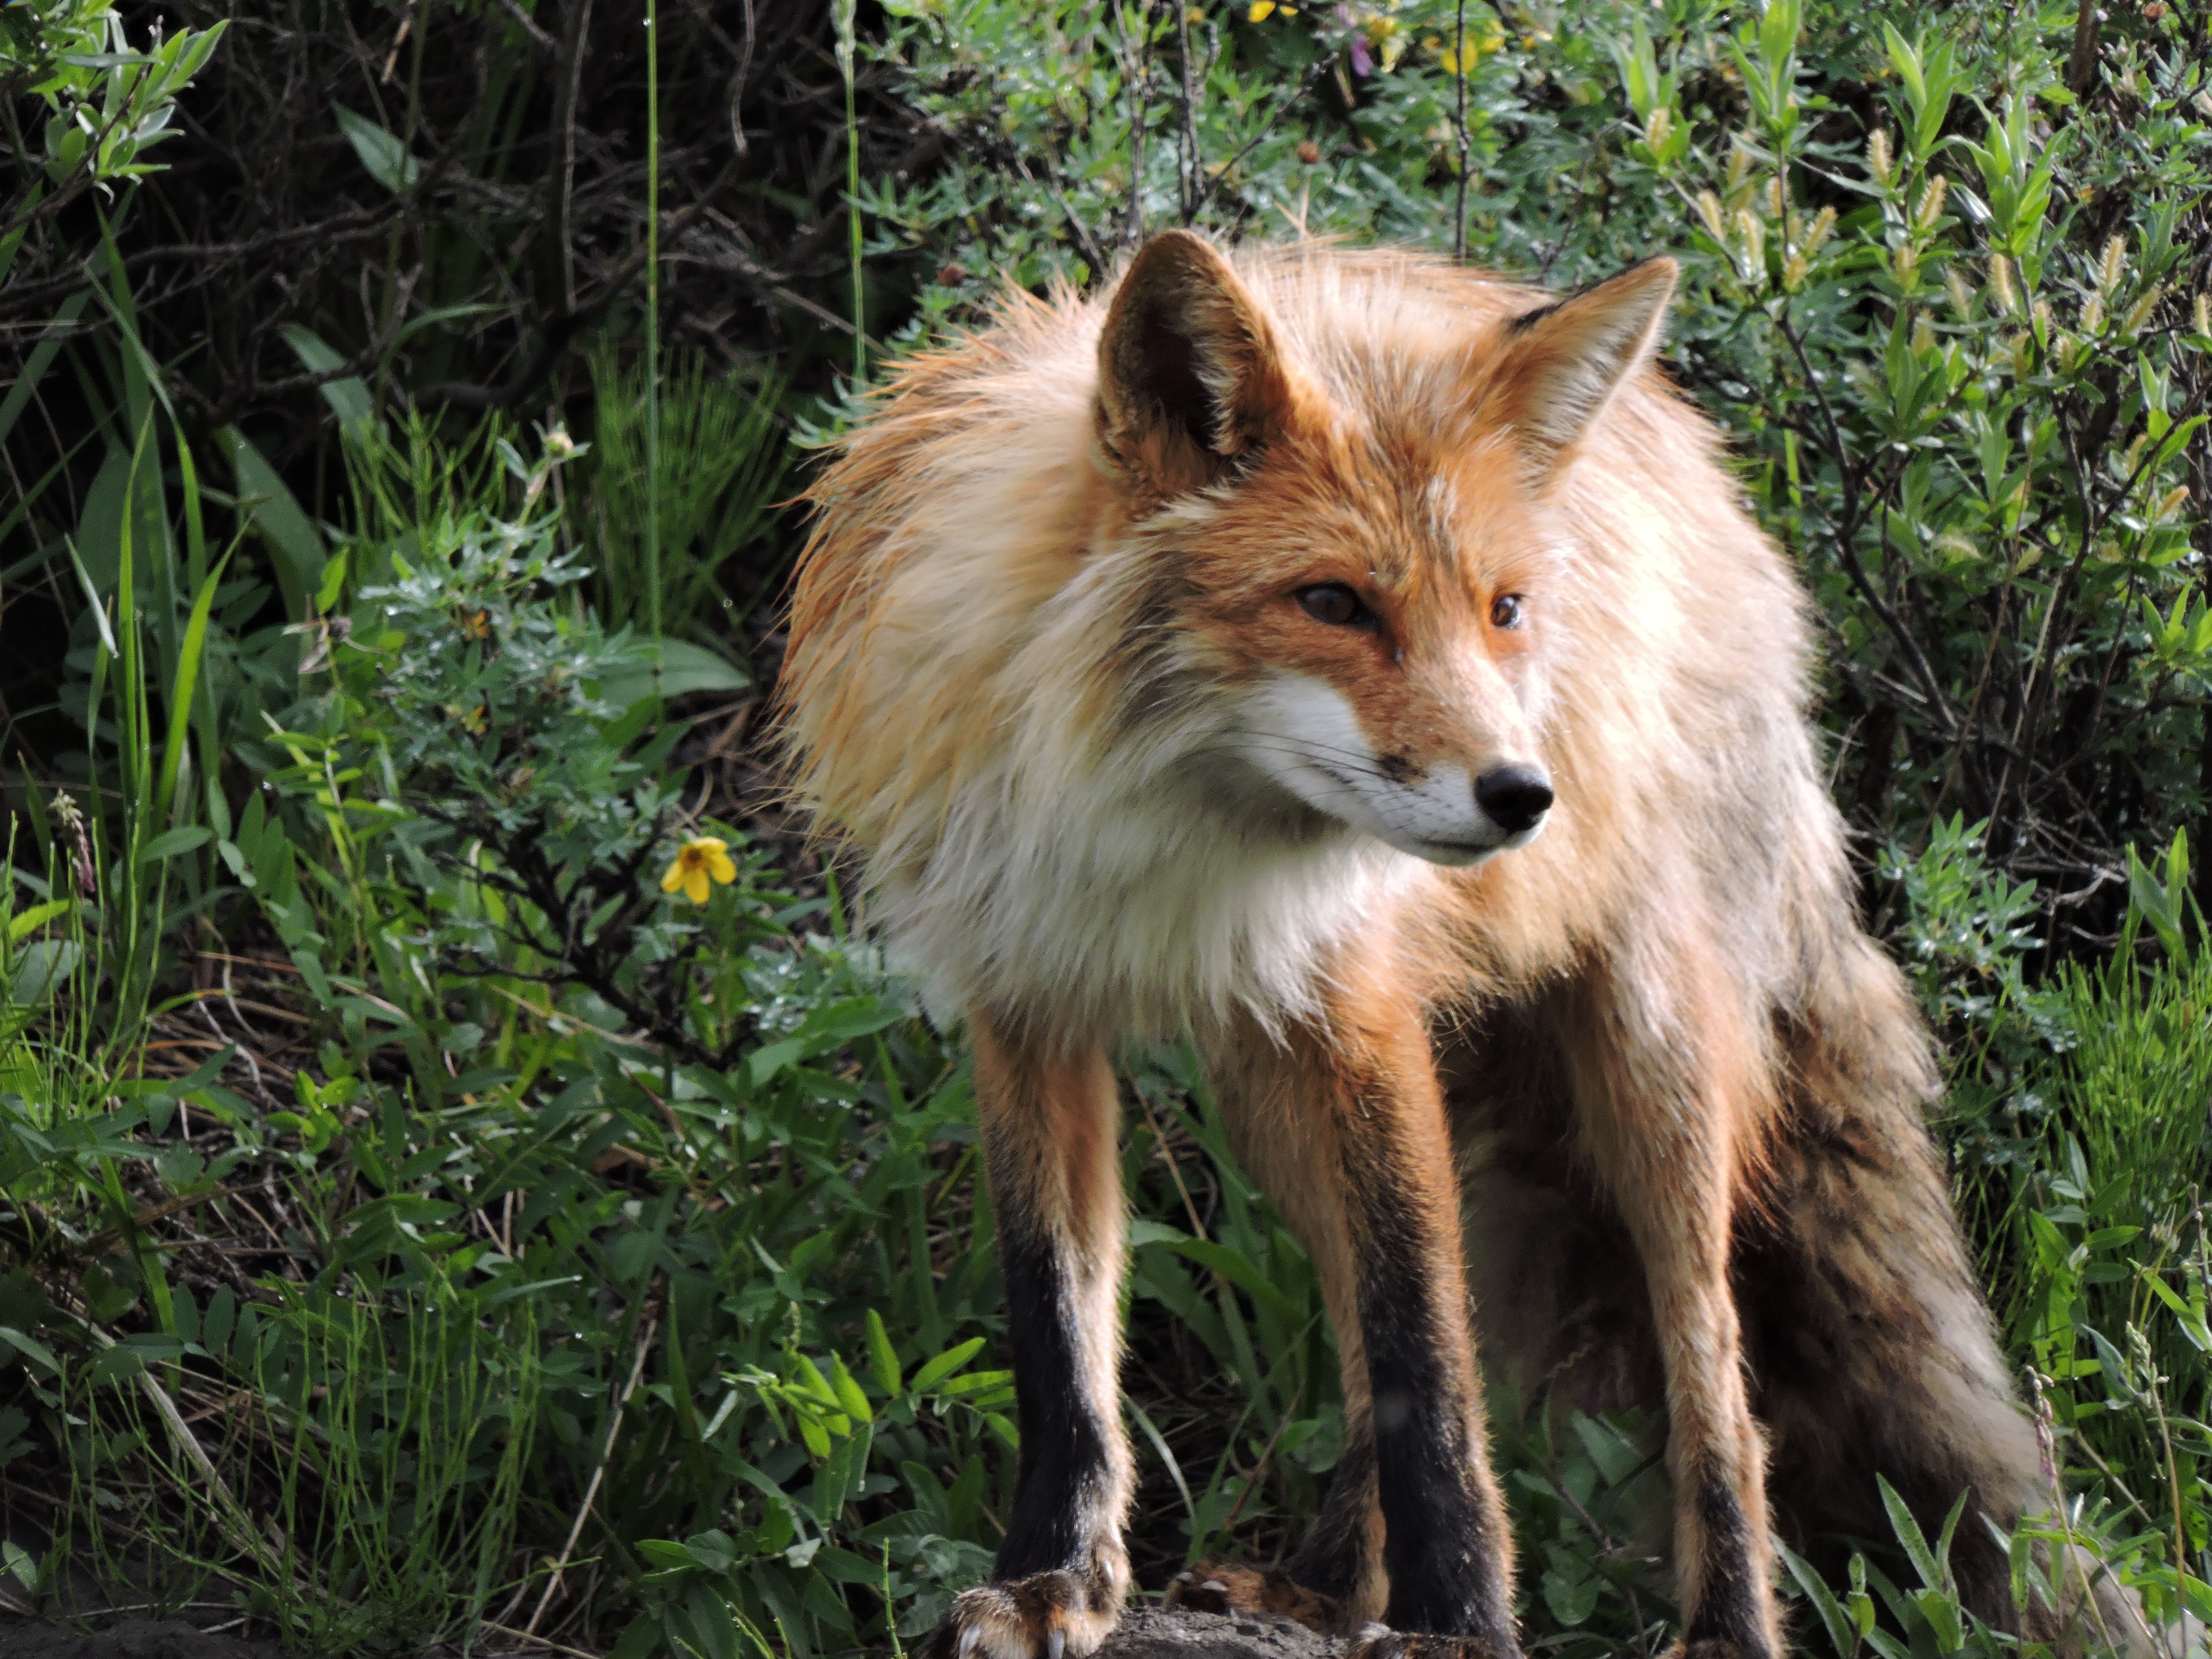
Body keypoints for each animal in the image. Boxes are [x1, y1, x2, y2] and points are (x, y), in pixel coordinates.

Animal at [779, 231, 2137, 1659]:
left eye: (1503, 609)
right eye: (1331, 601)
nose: (1522, 796)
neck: (1170, 824)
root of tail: (1716, 486)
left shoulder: (1361, 1005)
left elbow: (1423, 1351)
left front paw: (1462, 1619)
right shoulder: (1027, 1001)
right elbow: (1065, 1338)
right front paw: (1059, 1579)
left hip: (1651, 1061)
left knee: (1715, 1372)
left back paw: (1723, 1625)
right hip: (1269, 1088)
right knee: (1373, 1335)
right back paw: (1326, 1588)